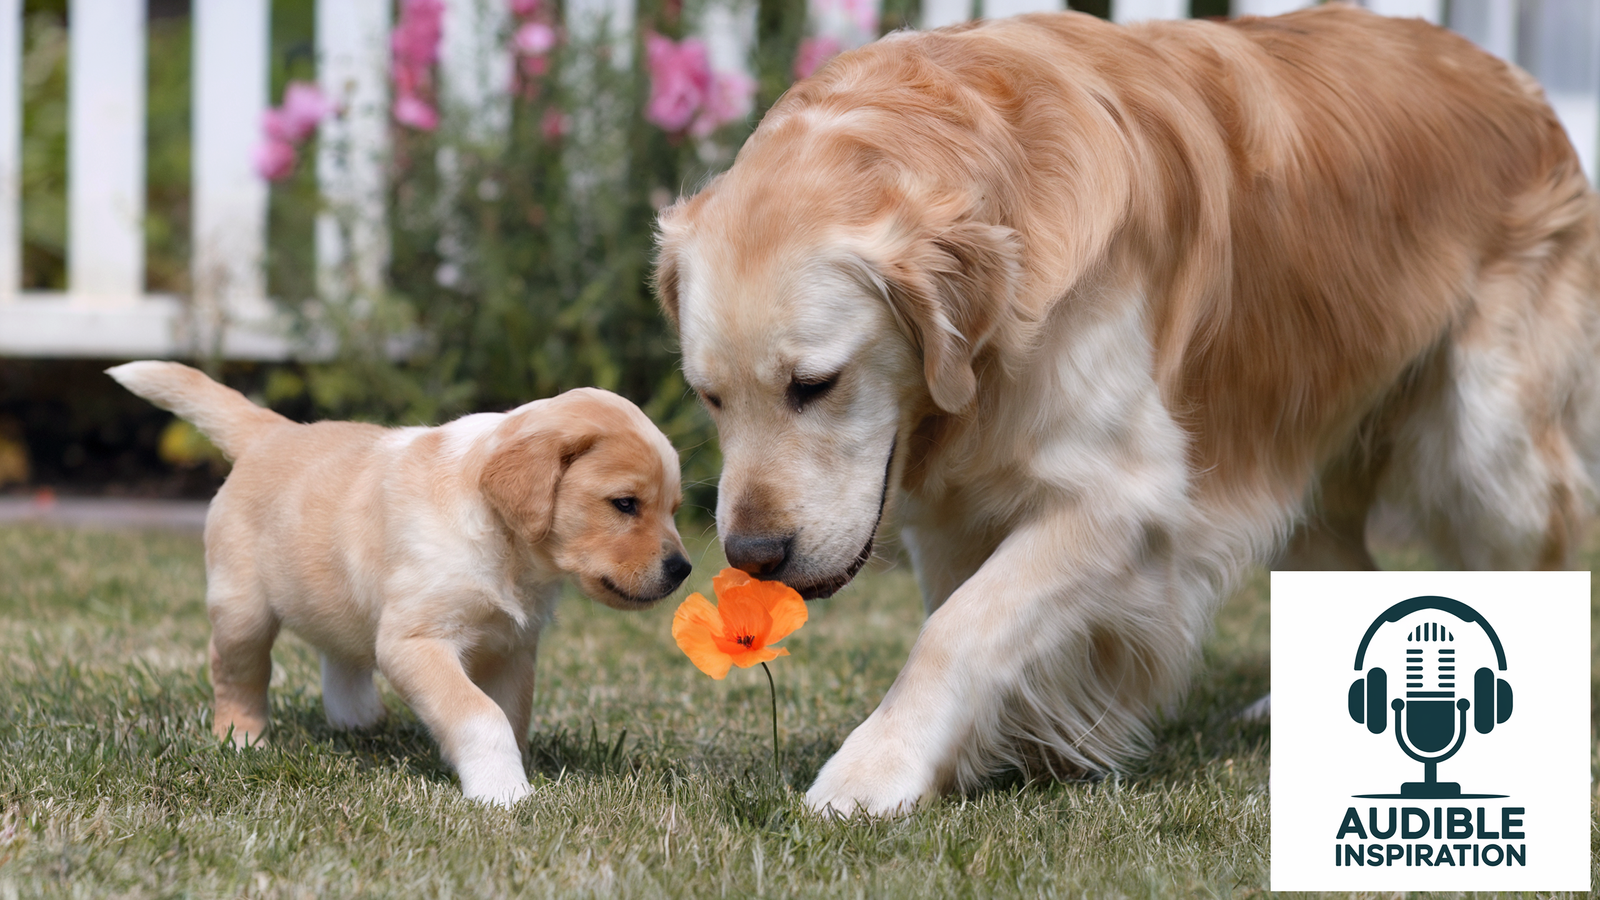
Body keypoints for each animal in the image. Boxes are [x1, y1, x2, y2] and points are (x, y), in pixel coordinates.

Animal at [104, 360, 694, 800]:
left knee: (338, 649)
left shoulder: (512, 648)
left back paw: (357, 719)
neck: (503, 545)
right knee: (238, 674)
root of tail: (274, 430)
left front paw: (510, 774)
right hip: (241, 610)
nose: (682, 570)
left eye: (674, 509)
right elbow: (479, 715)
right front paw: (504, 793)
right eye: (624, 504)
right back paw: (241, 740)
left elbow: (510, 716)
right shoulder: (415, 641)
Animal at [649, 3, 1600, 813]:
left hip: (1487, 451)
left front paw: (872, 770)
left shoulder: (1127, 495)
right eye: (709, 396)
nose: (753, 557)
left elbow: (957, 629)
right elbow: (968, 618)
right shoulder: (956, 509)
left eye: (815, 384)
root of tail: (1515, 80)